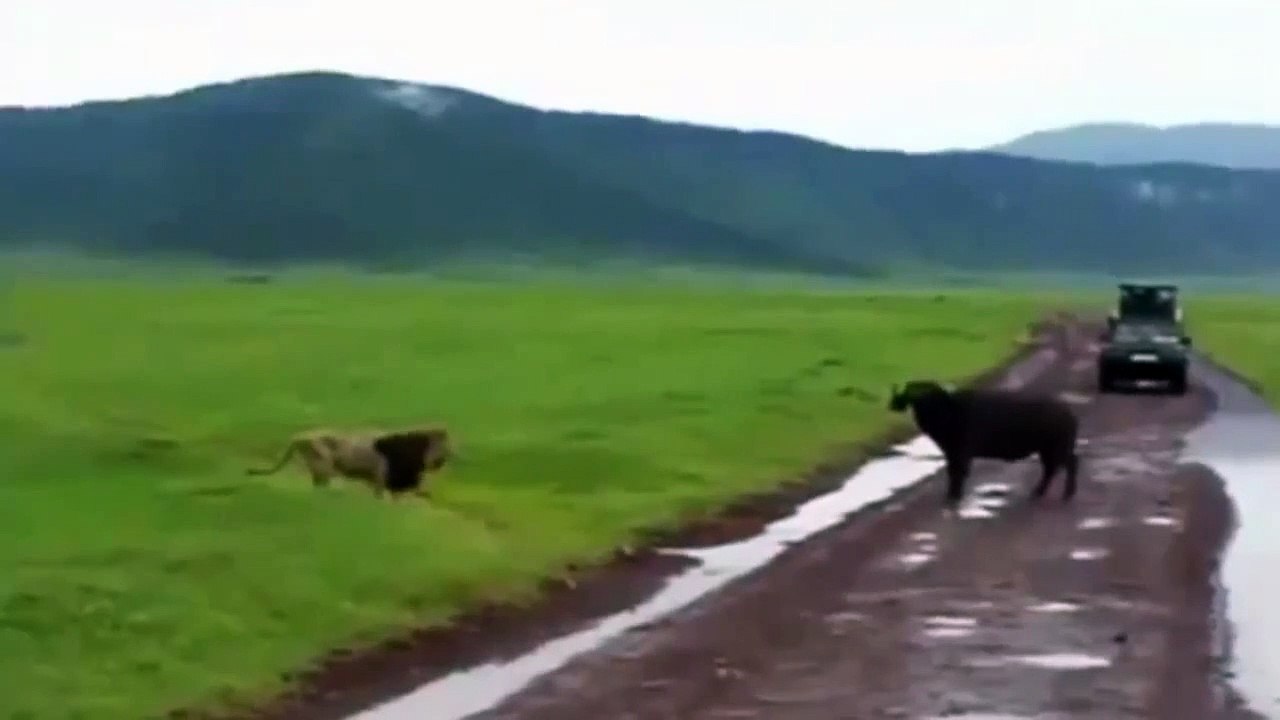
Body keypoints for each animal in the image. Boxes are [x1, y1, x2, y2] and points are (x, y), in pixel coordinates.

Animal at [888, 380, 1080, 505]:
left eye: (930, 397)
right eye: (913, 399)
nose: (922, 411)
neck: (950, 411)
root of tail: (1068, 413)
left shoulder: (961, 453)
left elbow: (958, 473)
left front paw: (954, 496)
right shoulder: (951, 453)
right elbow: (952, 472)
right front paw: (951, 495)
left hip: (1058, 448)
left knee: (1069, 464)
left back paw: (1067, 493)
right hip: (1046, 450)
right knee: (1051, 469)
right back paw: (1038, 492)